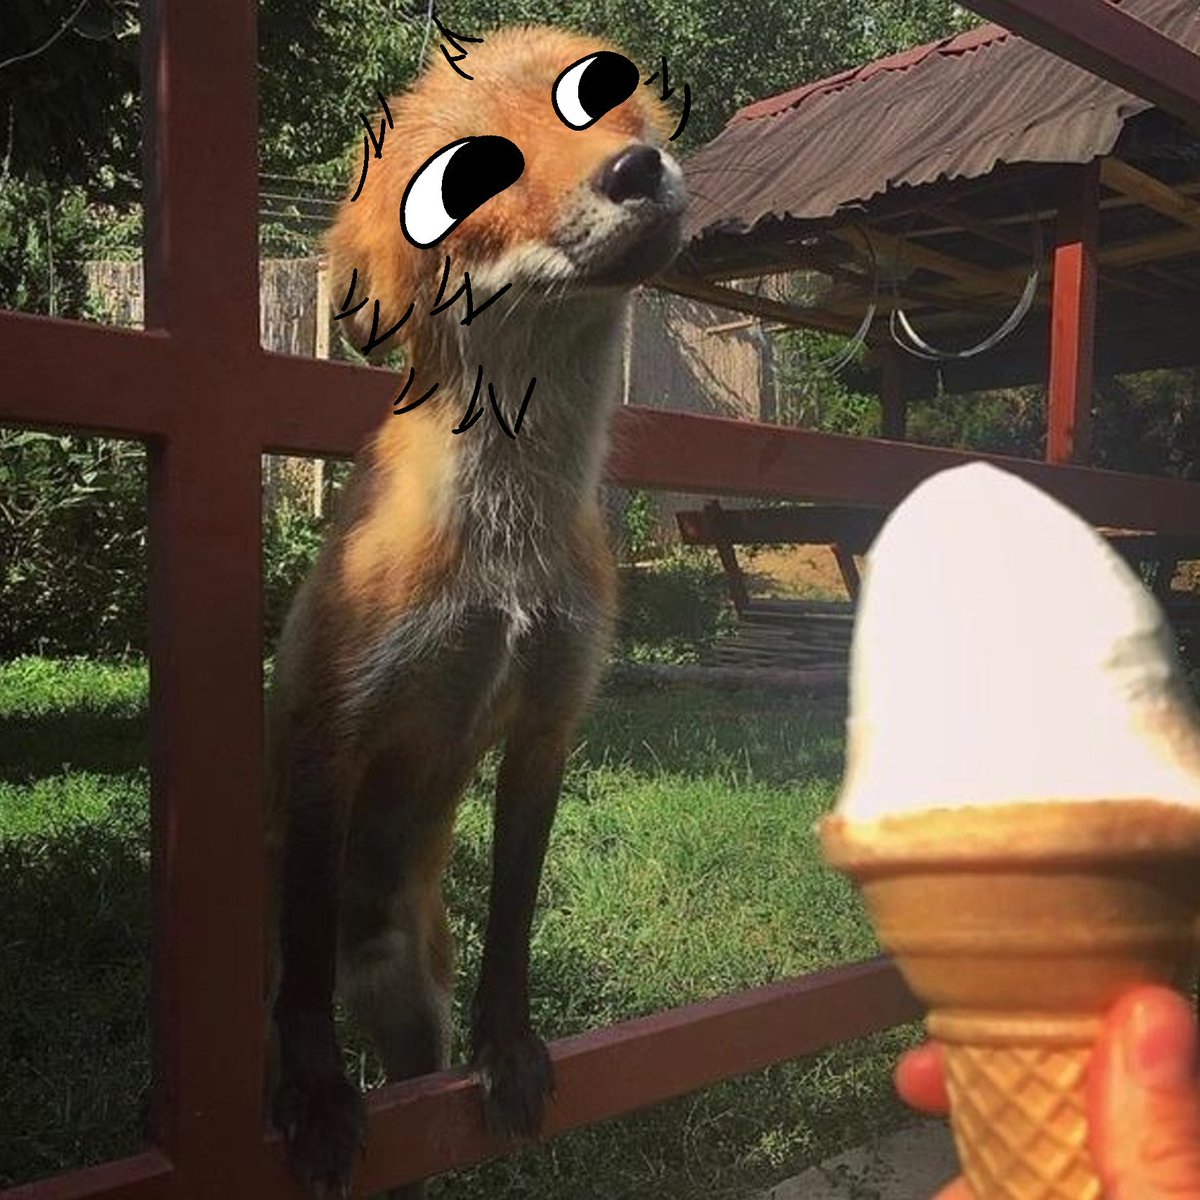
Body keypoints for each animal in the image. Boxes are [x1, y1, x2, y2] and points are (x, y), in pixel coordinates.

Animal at [265, 24, 688, 1200]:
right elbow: (304, 991)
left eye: (606, 109)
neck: (506, 559)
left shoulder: (551, 717)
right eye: (474, 173)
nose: (639, 171)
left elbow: (513, 920)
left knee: (416, 1101)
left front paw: (511, 1049)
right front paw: (318, 1095)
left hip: (415, 1009)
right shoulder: (328, 728)